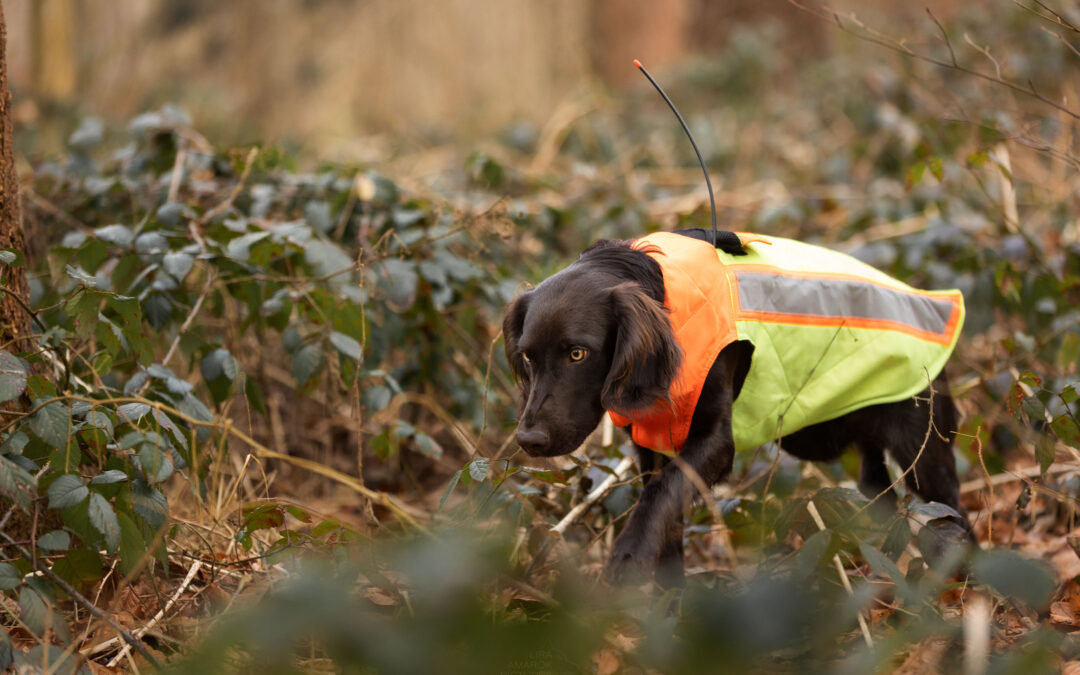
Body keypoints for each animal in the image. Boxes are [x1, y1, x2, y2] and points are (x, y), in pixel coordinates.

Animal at [505, 230, 972, 583]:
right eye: (527, 356)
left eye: (577, 354)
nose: (529, 439)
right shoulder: (652, 445)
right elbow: (667, 515)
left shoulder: (713, 442)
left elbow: (661, 494)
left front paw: (629, 555)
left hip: (923, 452)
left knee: (954, 520)